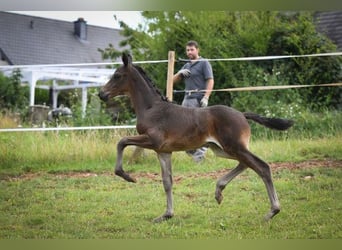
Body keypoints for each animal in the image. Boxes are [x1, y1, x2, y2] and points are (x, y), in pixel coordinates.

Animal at [99, 53, 294, 223]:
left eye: (117, 76)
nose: (101, 94)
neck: (151, 108)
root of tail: (242, 115)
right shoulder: (163, 151)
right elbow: (167, 181)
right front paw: (166, 215)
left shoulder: (153, 141)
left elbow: (122, 142)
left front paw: (128, 177)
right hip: (222, 149)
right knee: (246, 164)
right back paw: (219, 191)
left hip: (234, 147)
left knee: (262, 167)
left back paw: (272, 211)